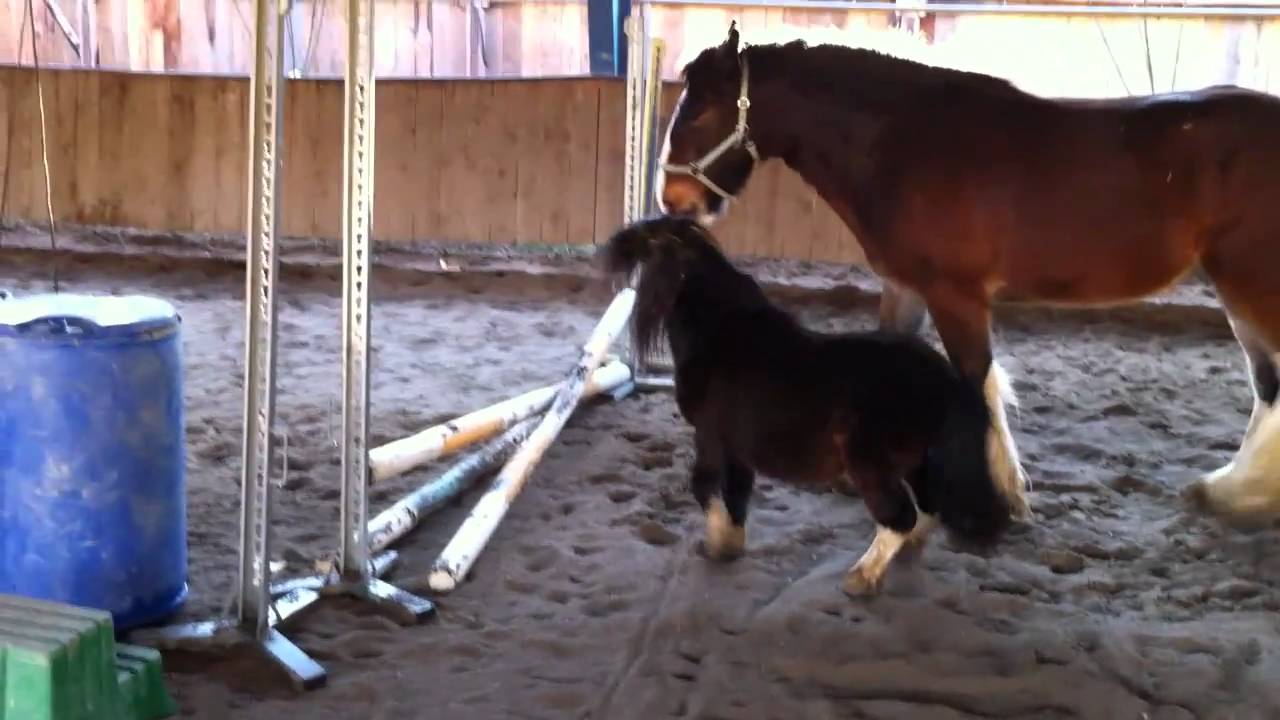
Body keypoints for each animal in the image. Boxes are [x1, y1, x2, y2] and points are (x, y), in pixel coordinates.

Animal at [598, 215, 1013, 596]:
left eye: (647, 239)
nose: (609, 248)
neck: (722, 333)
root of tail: (948, 380)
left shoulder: (710, 436)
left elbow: (704, 487)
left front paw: (715, 543)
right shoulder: (738, 447)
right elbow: (737, 493)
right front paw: (729, 544)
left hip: (871, 462)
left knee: (900, 517)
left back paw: (861, 578)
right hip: (915, 460)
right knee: (926, 507)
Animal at [654, 22, 1280, 524]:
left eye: (702, 110)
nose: (673, 198)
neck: (903, 144)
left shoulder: (955, 294)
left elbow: (977, 382)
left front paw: (1002, 495)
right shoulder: (906, 285)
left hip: (1248, 280)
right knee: (1267, 384)